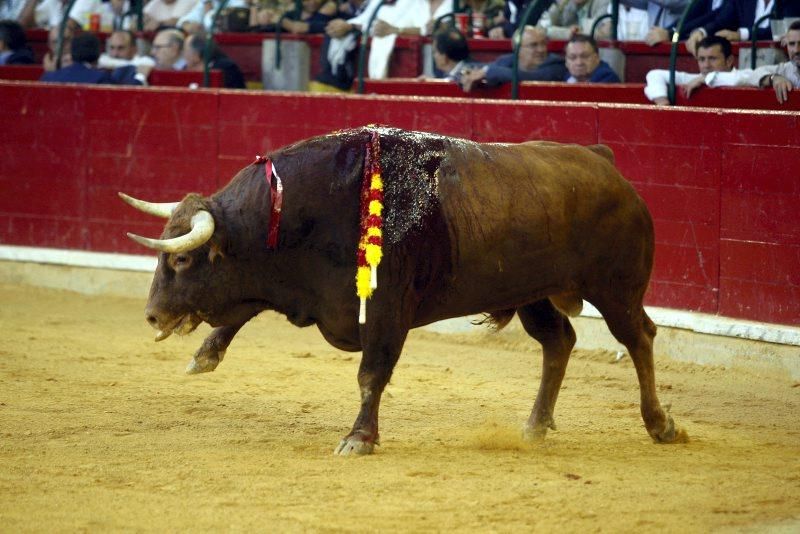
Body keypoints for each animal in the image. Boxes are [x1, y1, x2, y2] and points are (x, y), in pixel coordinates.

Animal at [119, 125, 688, 456]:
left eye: (182, 258)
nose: (150, 316)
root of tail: (603, 160)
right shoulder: (293, 291)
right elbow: (242, 311)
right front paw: (204, 355)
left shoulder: (387, 311)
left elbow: (371, 376)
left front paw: (358, 439)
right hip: (535, 294)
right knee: (559, 341)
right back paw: (535, 426)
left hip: (615, 287)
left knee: (638, 337)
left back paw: (660, 425)